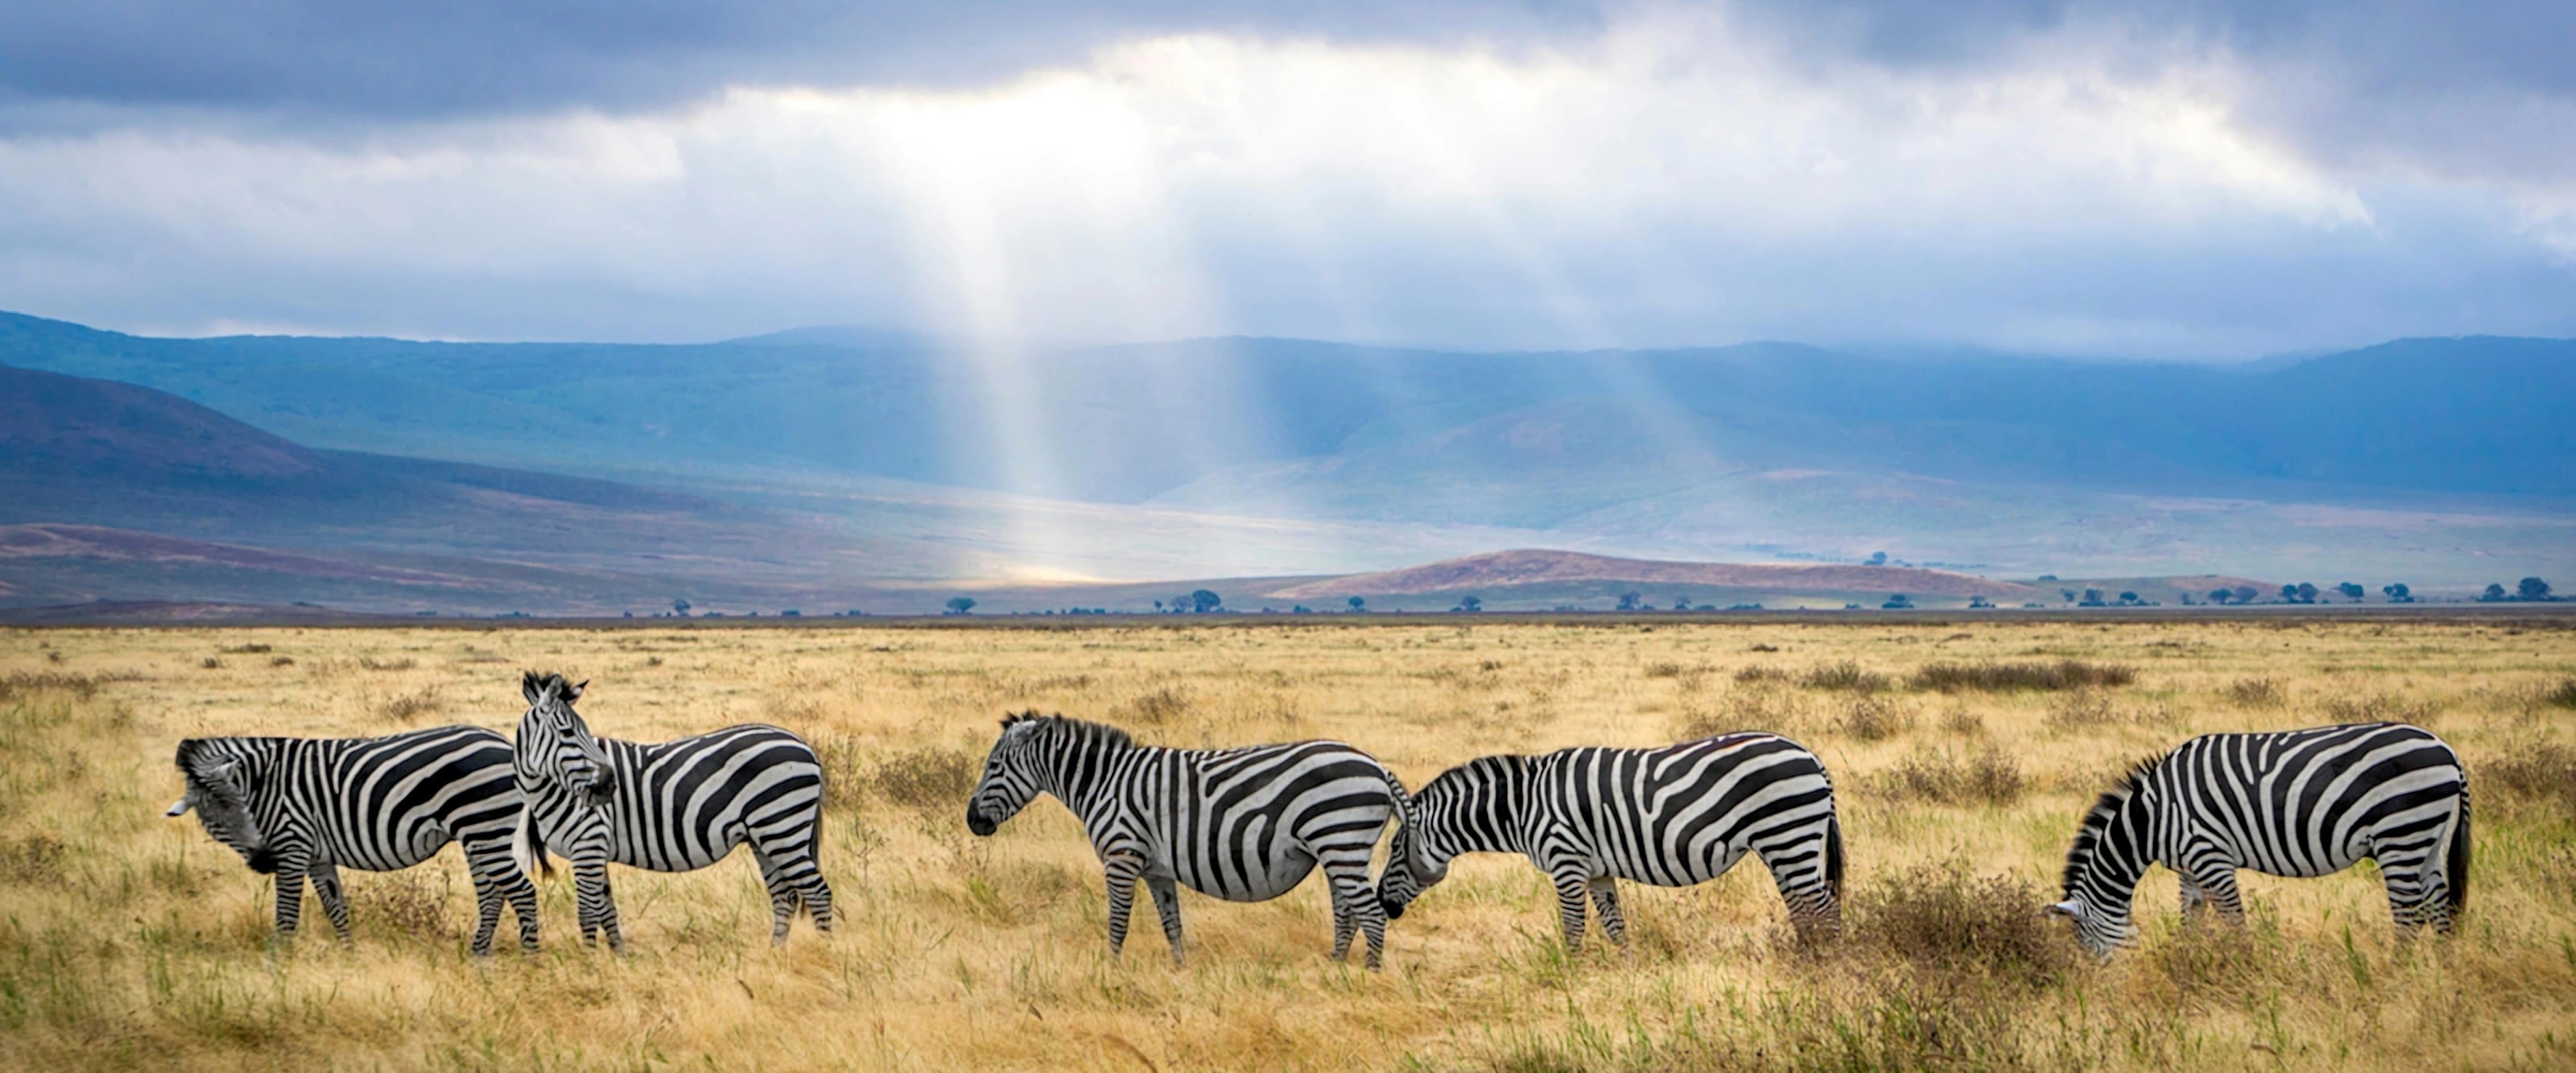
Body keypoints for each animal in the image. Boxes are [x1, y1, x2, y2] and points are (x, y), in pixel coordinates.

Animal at [165, 725, 541, 956]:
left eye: (244, 807)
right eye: (214, 821)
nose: (263, 861)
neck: (264, 783)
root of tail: (505, 743)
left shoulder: (292, 844)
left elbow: (286, 914)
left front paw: (278, 964)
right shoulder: (316, 855)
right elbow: (336, 907)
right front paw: (348, 955)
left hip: (485, 828)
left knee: (522, 892)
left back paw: (530, 959)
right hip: (477, 835)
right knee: (492, 894)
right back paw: (480, 955)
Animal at [510, 672, 834, 949]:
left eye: (585, 733)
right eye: (567, 732)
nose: (608, 785)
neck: (551, 790)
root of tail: (804, 744)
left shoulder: (588, 844)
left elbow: (588, 913)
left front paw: (590, 963)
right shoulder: (595, 849)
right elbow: (607, 911)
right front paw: (619, 958)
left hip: (782, 827)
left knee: (817, 892)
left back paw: (825, 951)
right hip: (764, 837)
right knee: (785, 895)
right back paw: (775, 953)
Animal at [965, 711, 1409, 969]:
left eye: (994, 766)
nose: (972, 821)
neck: (1104, 783)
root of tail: (1376, 765)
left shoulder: (1122, 856)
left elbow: (1118, 922)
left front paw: (1111, 972)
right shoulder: (1157, 870)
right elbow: (1171, 923)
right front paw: (1179, 972)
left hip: (1340, 842)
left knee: (1371, 914)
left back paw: (1369, 976)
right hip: (1338, 850)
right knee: (1346, 912)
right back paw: (1334, 969)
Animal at [1375, 732, 1844, 952]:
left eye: (1395, 850)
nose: (1382, 903)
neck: (1524, 807)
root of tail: (1811, 756)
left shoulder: (1566, 862)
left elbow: (1573, 928)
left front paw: (1571, 978)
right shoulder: (1597, 871)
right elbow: (1616, 927)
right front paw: (1625, 975)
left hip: (1788, 835)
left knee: (1823, 906)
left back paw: (1825, 964)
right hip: (1784, 845)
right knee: (1803, 907)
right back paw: (1805, 957)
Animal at [2051, 721, 2469, 957]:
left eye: (2086, 944)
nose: (2098, 989)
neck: (2152, 818)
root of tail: (2447, 749)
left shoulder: (2211, 856)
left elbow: (2234, 919)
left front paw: (2245, 967)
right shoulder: (2188, 867)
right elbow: (2192, 918)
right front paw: (2189, 962)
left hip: (2400, 833)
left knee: (2409, 915)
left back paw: (2393, 975)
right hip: (2426, 839)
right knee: (2438, 905)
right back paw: (2444, 975)